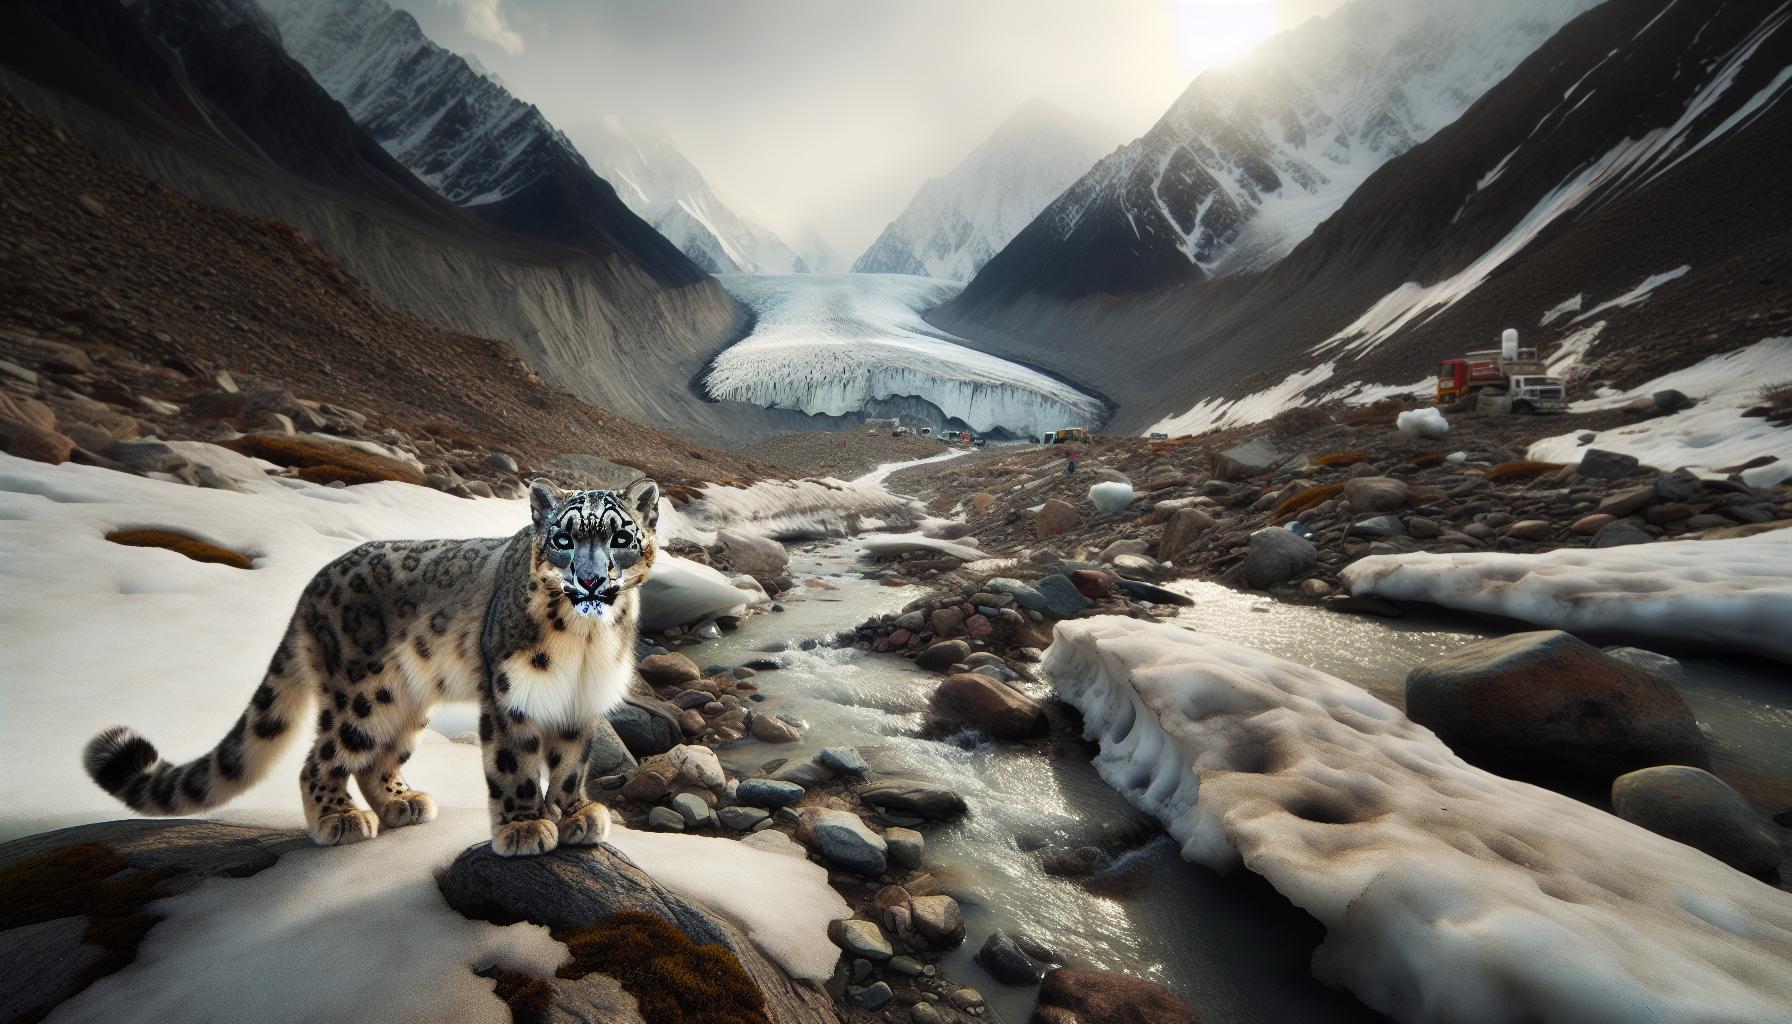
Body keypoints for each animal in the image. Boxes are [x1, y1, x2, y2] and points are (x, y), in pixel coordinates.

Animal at [83, 478, 658, 856]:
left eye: (619, 537)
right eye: (563, 539)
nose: (589, 579)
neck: (585, 642)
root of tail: (312, 585)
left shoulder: (579, 701)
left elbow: (571, 763)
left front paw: (577, 814)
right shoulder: (510, 694)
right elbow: (513, 764)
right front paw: (523, 827)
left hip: (406, 701)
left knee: (374, 759)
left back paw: (402, 804)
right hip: (361, 693)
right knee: (321, 758)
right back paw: (338, 819)